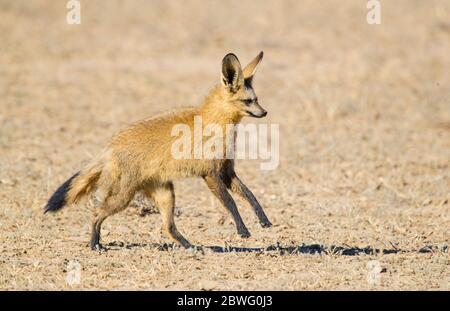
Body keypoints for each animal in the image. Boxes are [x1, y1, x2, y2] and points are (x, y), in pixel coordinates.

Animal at [44, 51, 270, 251]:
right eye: (248, 101)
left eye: (257, 99)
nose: (265, 112)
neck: (214, 123)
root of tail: (109, 146)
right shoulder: (210, 174)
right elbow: (231, 203)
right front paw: (242, 230)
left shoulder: (226, 171)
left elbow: (250, 195)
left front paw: (263, 219)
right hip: (123, 199)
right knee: (96, 214)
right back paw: (95, 244)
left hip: (165, 195)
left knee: (168, 227)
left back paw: (192, 247)